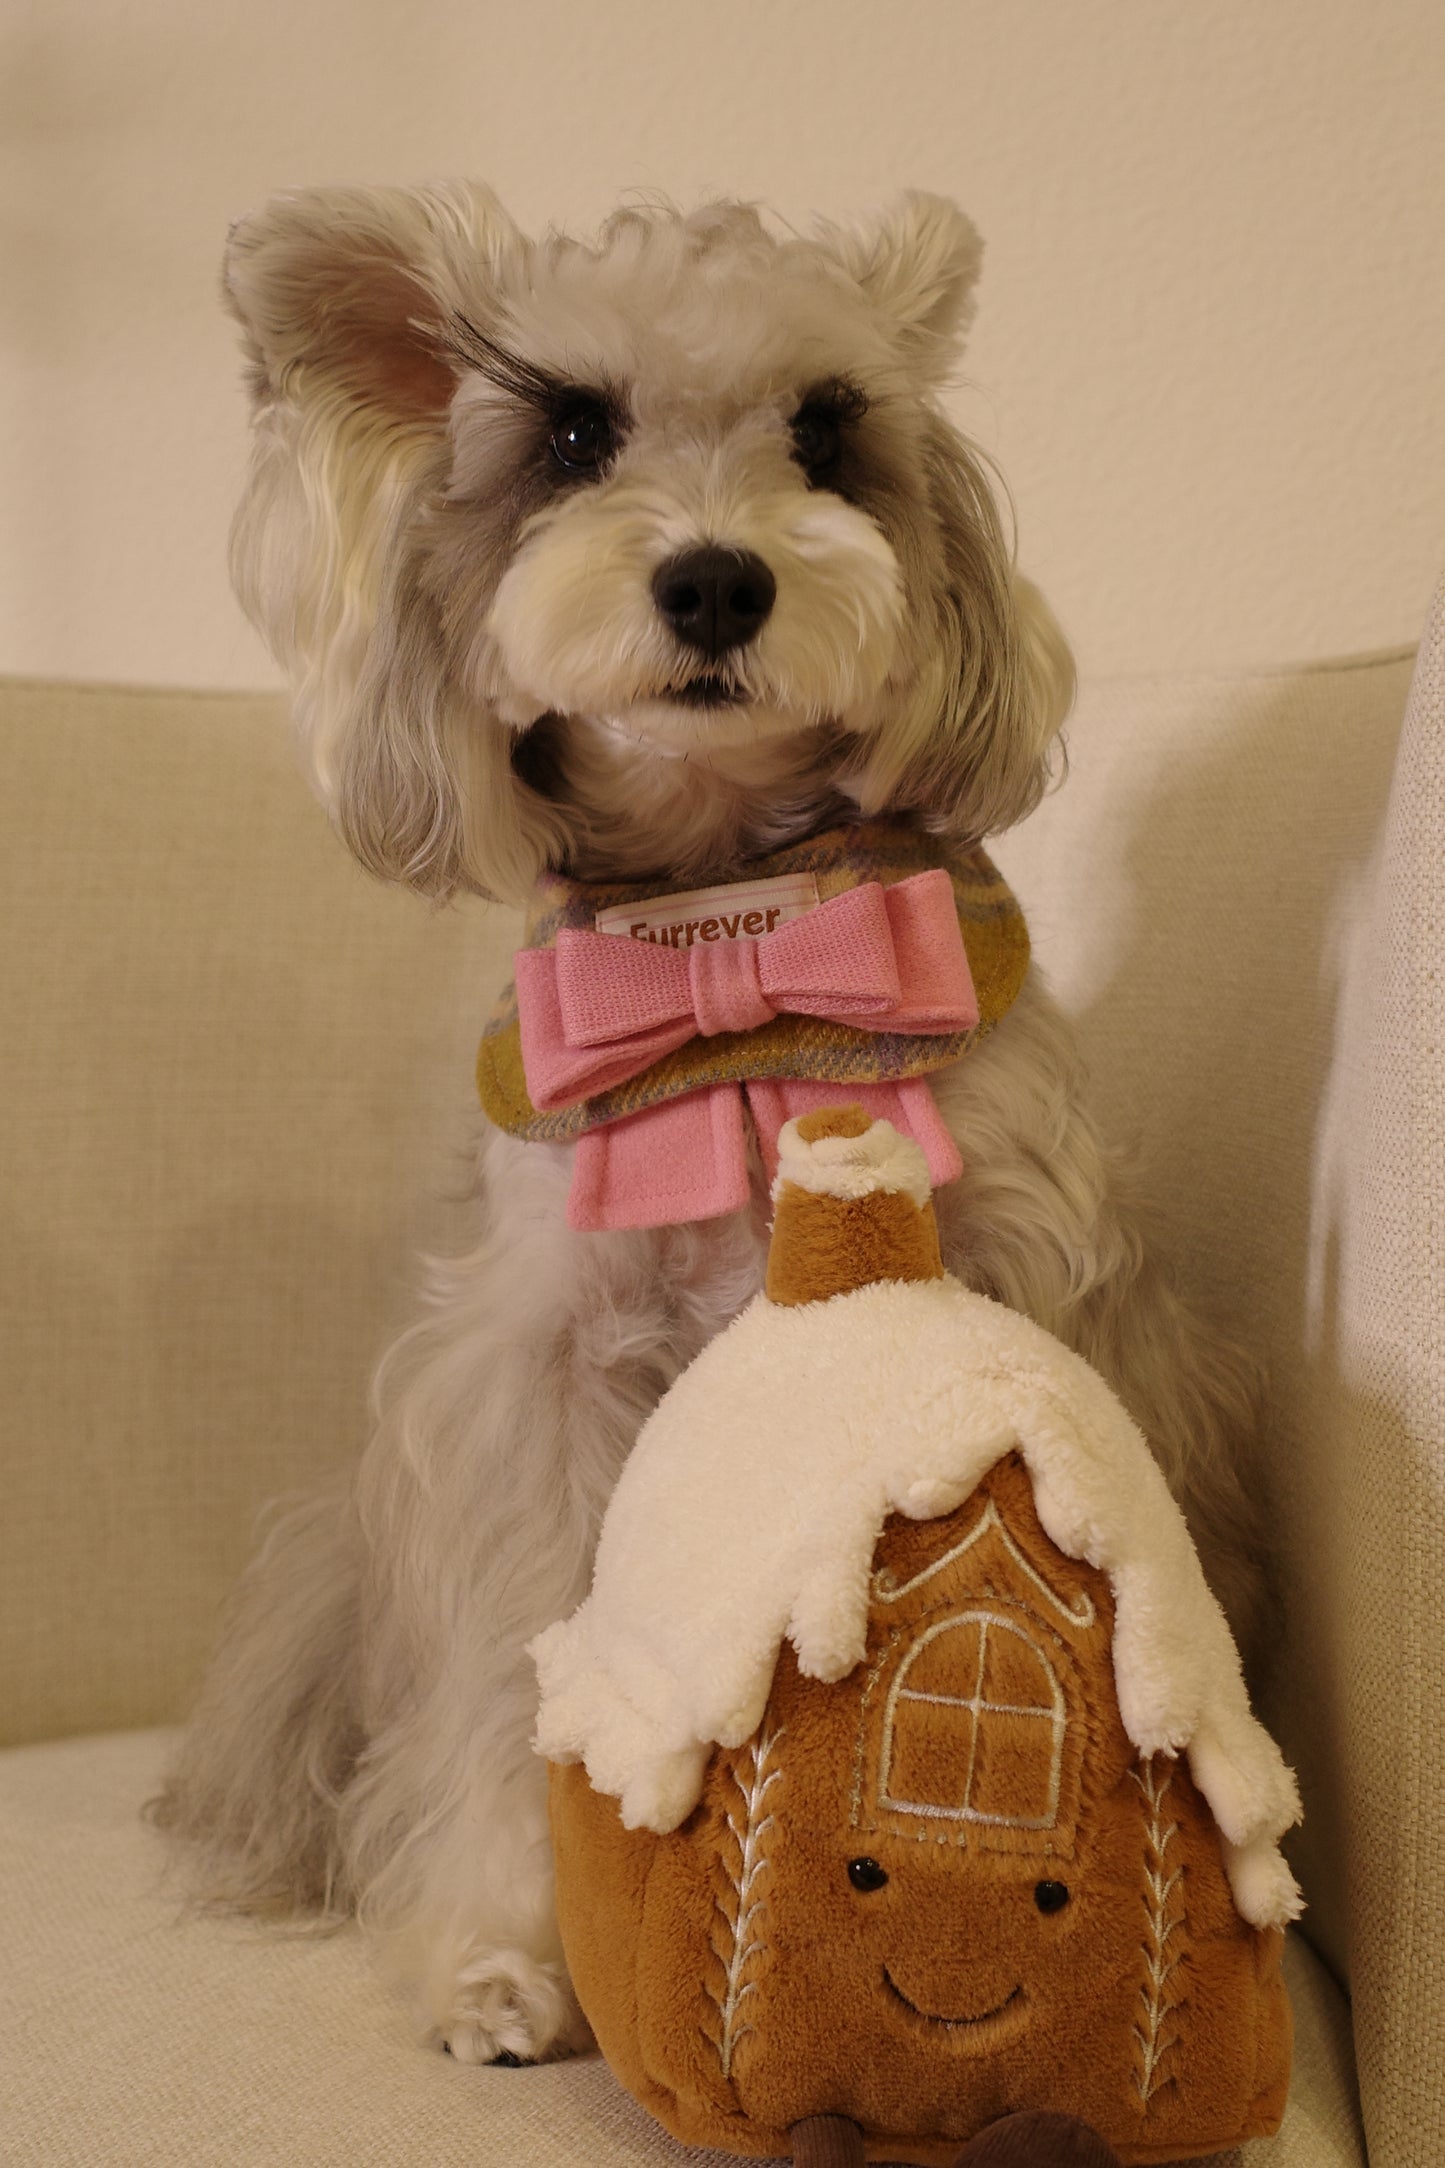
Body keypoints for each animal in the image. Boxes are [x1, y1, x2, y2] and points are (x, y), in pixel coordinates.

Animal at [155, 186, 1265, 2063]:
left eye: (826, 426)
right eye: (569, 433)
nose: (718, 575)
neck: (734, 943)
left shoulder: (1030, 1298)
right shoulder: (534, 1385)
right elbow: (506, 1665)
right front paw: (499, 1956)